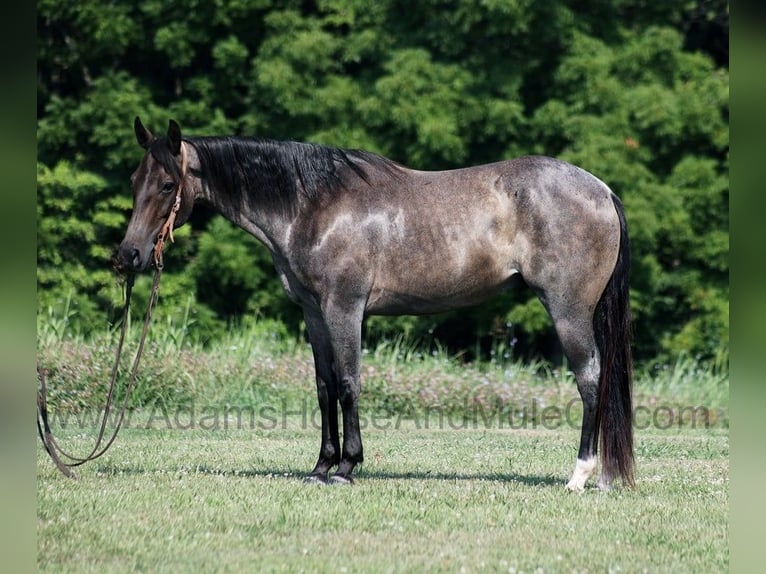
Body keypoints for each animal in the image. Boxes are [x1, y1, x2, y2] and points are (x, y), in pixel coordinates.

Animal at [117, 119, 632, 492]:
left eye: (167, 185)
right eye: (134, 178)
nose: (127, 255)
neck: (313, 205)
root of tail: (602, 190)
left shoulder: (344, 308)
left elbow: (348, 383)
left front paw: (347, 467)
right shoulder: (313, 313)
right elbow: (324, 386)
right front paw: (321, 467)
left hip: (567, 311)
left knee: (590, 379)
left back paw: (580, 475)